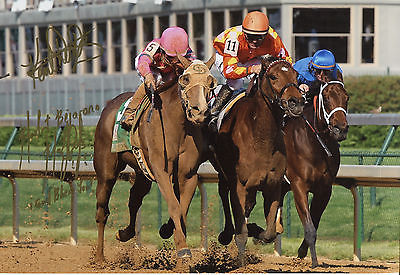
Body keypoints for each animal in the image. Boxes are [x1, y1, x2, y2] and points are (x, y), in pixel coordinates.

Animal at [93, 54, 216, 264]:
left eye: (210, 82)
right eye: (185, 79)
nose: (200, 112)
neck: (177, 124)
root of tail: (109, 104)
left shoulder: (188, 175)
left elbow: (182, 209)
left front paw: (169, 232)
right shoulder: (161, 171)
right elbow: (174, 206)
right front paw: (183, 249)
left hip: (141, 172)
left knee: (134, 198)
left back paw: (124, 233)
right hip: (106, 171)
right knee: (102, 210)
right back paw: (100, 257)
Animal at [212, 56, 304, 260]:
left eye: (296, 75)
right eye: (273, 76)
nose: (296, 102)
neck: (260, 138)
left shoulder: (273, 184)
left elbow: (270, 232)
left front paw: (257, 232)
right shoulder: (239, 185)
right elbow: (241, 233)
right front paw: (240, 261)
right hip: (223, 173)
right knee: (224, 194)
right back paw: (226, 233)